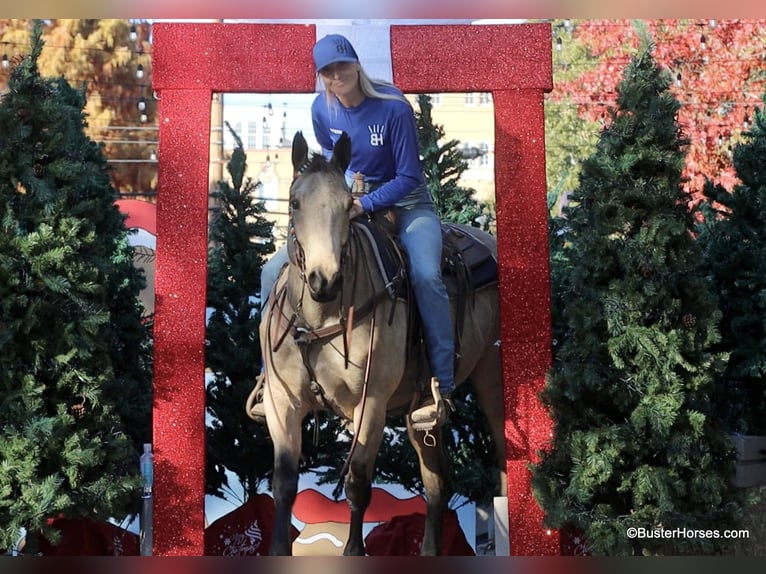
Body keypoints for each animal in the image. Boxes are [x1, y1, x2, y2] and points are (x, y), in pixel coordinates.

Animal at [258, 131, 506, 556]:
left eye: (347, 205)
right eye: (294, 202)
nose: (325, 279)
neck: (319, 318)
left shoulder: (370, 403)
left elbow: (358, 481)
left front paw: (354, 551)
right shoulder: (281, 401)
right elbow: (284, 483)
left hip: (494, 381)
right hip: (420, 413)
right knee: (437, 481)